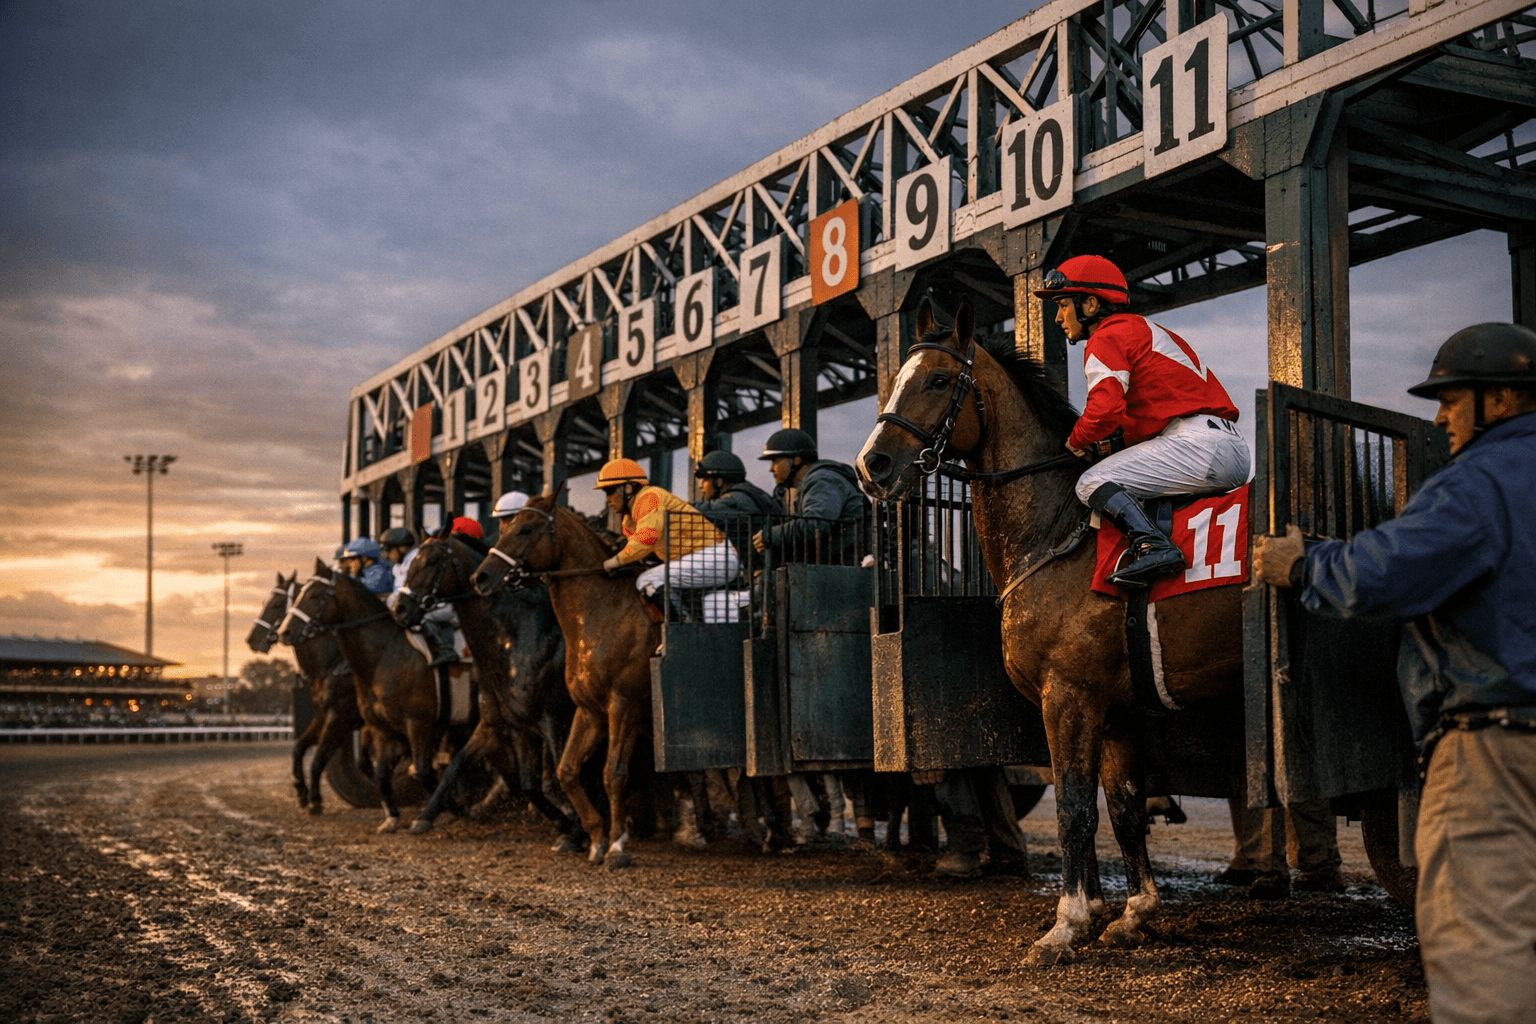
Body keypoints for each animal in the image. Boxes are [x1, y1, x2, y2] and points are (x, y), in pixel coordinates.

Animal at [246, 571, 361, 815]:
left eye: (277, 604)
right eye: (264, 602)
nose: (251, 639)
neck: (332, 663)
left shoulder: (340, 718)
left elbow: (318, 759)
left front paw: (315, 799)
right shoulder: (323, 716)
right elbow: (299, 747)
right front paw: (301, 791)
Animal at [279, 559, 473, 833]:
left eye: (314, 595)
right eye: (298, 596)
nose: (283, 632)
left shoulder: (351, 718)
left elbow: (319, 759)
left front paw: (314, 801)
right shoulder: (362, 721)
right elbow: (303, 748)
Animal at [392, 529, 584, 844]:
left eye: (431, 561)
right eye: (412, 561)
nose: (399, 608)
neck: (514, 639)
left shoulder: (553, 719)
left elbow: (559, 772)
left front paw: (574, 827)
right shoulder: (499, 723)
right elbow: (460, 764)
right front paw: (426, 816)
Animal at [470, 488, 662, 869]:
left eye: (526, 529)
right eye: (505, 528)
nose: (481, 577)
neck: (604, 613)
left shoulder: (624, 705)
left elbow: (613, 773)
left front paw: (617, 845)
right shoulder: (589, 711)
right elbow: (567, 771)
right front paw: (596, 838)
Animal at [856, 297, 1243, 963]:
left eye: (937, 380)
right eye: (897, 379)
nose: (871, 465)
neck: (1057, 534)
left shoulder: (1068, 697)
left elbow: (1073, 811)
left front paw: (1067, 923)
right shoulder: (1116, 709)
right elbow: (1122, 809)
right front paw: (1133, 913)